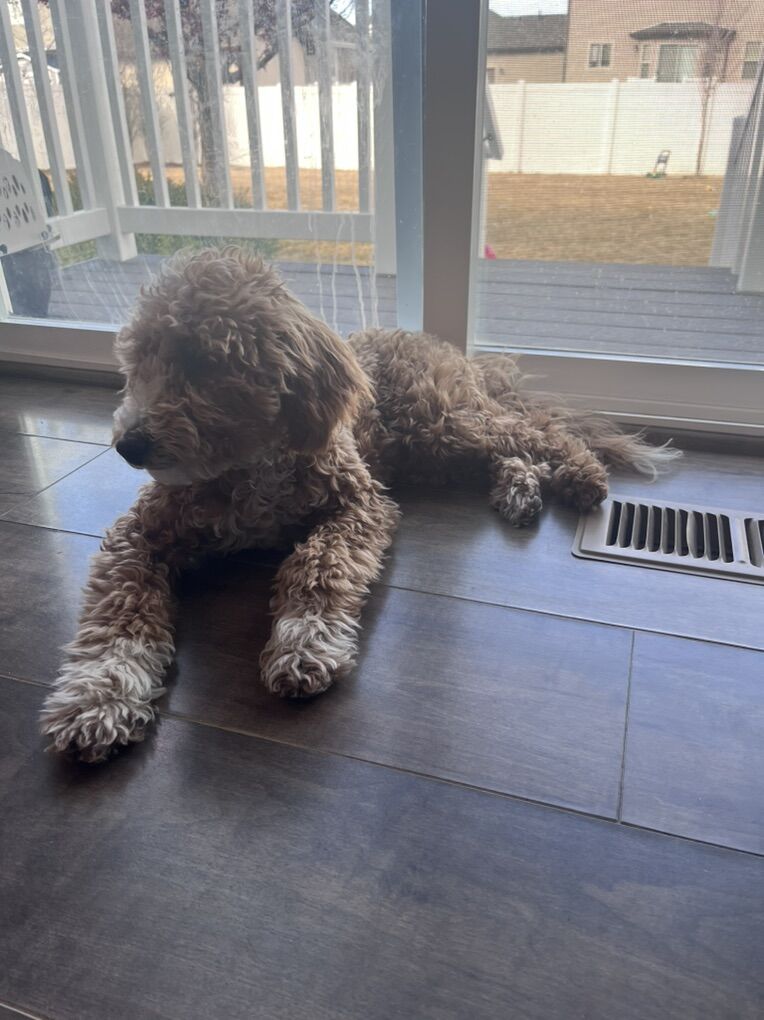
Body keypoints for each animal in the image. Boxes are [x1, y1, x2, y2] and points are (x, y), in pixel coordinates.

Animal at [40, 247, 677, 761]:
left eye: (203, 362)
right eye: (138, 363)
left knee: (534, 432)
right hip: (437, 448)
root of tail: (445, 348)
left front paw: (305, 641)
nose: (128, 444)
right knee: (511, 448)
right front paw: (98, 696)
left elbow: (316, 566)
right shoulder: (138, 536)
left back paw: (580, 473)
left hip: (444, 424)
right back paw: (518, 489)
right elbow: (115, 618)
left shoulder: (358, 505)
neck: (250, 465)